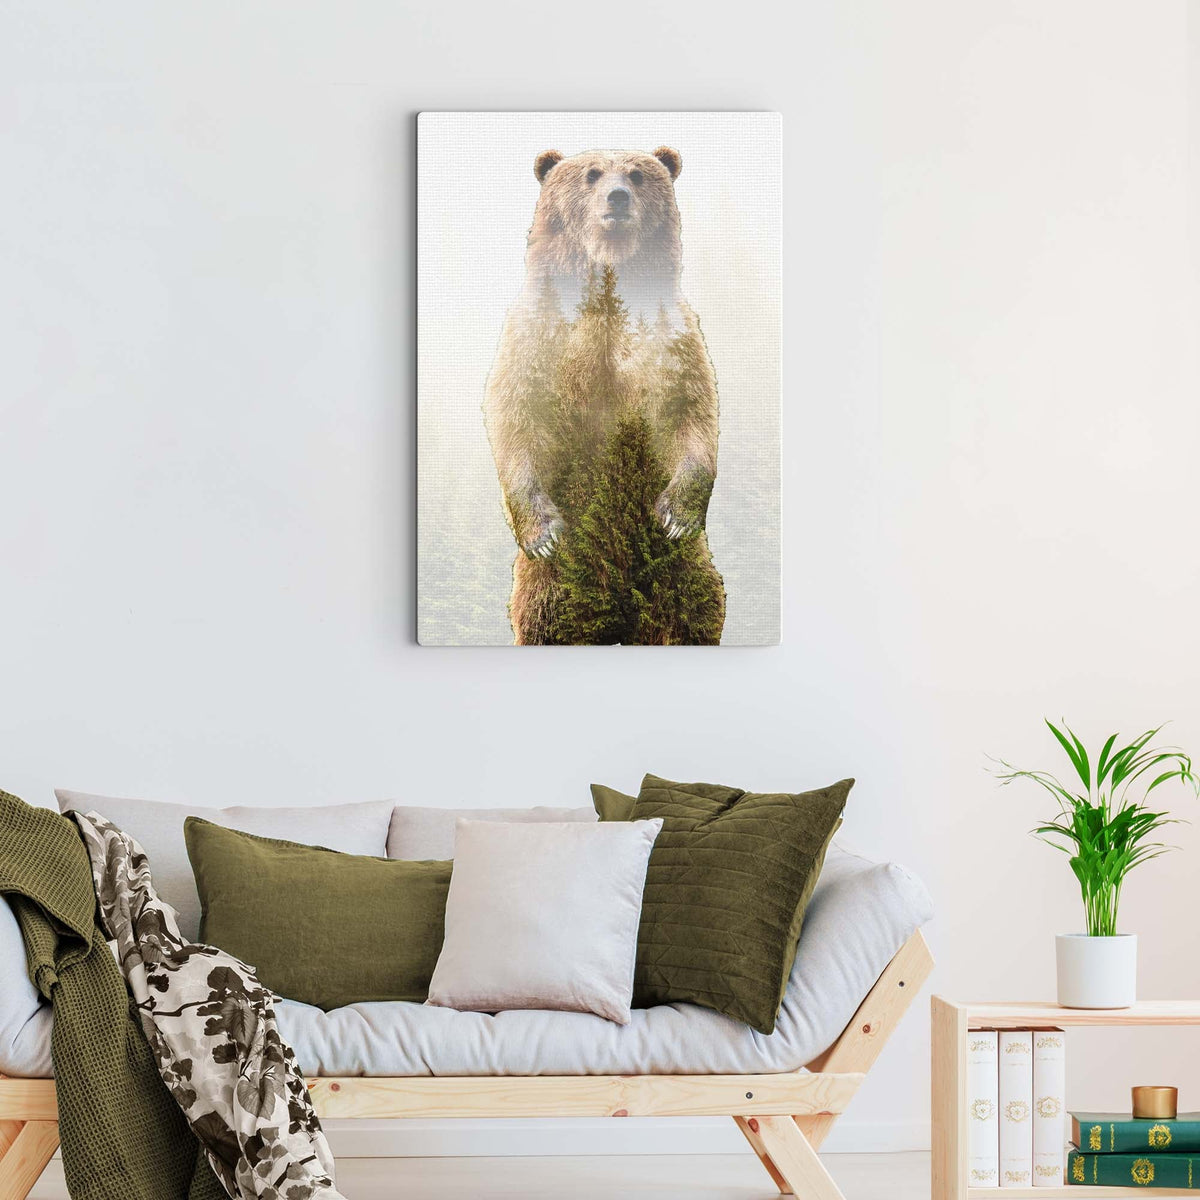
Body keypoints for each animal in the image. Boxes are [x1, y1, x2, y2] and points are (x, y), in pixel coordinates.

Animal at [483, 145, 724, 645]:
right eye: (592, 174)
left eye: (636, 174)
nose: (617, 197)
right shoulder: (539, 333)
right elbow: (516, 413)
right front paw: (543, 534)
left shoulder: (669, 334)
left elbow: (690, 410)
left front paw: (677, 516)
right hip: (556, 583)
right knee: (547, 620)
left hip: (679, 572)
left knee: (689, 612)